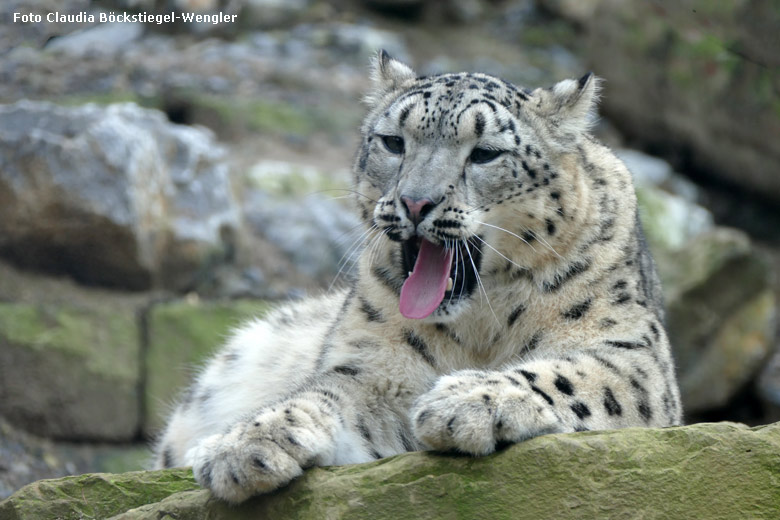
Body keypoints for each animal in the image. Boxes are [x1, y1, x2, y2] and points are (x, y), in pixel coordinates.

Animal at [155, 50, 680, 502]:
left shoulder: (634, 354)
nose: (414, 201)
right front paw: (242, 444)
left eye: (485, 153)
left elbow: (576, 374)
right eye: (393, 142)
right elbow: (326, 393)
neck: (479, 325)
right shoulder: (376, 366)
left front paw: (470, 400)